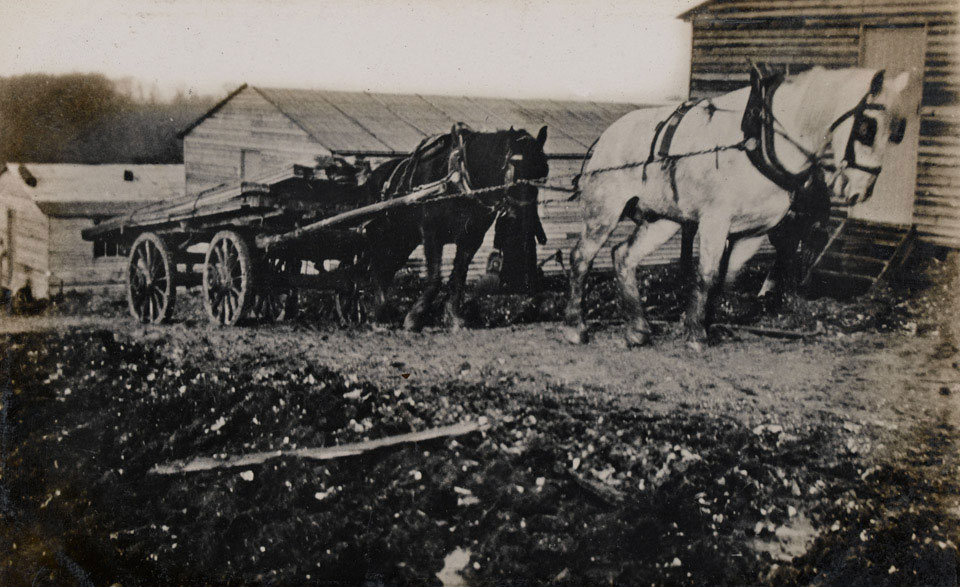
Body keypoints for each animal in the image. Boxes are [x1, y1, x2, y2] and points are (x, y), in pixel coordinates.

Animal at [358, 124, 548, 330]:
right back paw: (381, 314)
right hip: (380, 236)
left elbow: (458, 276)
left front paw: (453, 317)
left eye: (542, 173)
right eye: (516, 165)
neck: (457, 182)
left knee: (387, 268)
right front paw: (414, 317)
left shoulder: (472, 238)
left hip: (403, 240)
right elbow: (435, 278)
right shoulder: (431, 234)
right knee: (377, 268)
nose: (524, 217)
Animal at [568, 66, 912, 346]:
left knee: (624, 256)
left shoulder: (753, 233)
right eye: (867, 128)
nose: (860, 192)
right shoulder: (714, 222)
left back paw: (638, 329)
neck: (761, 141)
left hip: (663, 220)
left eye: (898, 132)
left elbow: (726, 278)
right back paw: (576, 327)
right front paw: (696, 335)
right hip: (604, 211)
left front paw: (707, 325)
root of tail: (606, 137)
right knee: (581, 258)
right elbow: (706, 275)